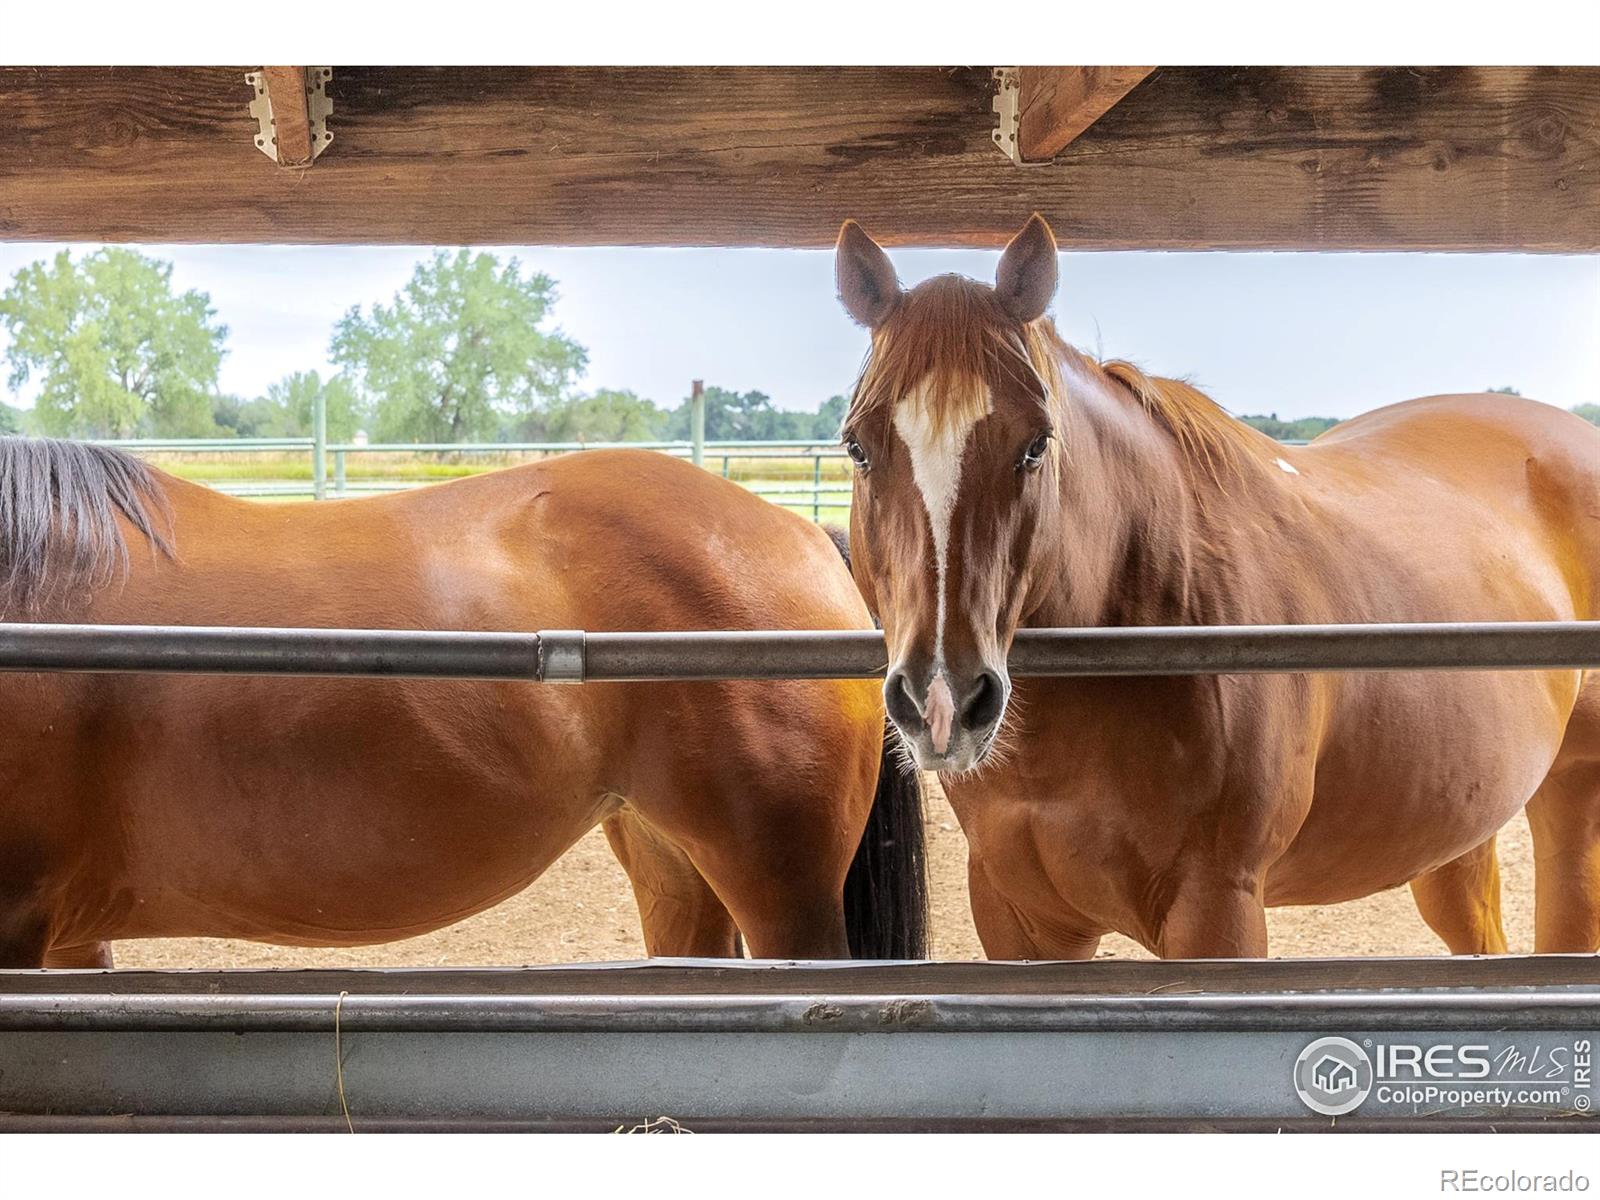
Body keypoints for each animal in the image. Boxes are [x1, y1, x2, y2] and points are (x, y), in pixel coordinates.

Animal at [832, 216, 1600, 966]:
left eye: (1036, 443)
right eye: (858, 447)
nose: (942, 702)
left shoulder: (1216, 911)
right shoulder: (1020, 920)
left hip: (1571, 797)